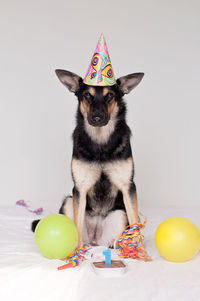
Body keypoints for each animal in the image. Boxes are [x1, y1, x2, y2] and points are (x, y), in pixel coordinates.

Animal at [32, 69, 149, 258]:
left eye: (110, 96)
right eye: (87, 95)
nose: (97, 118)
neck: (100, 142)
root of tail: (95, 239)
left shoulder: (128, 187)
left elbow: (135, 223)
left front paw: (140, 252)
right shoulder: (80, 188)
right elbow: (78, 224)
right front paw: (77, 254)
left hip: (119, 214)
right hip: (68, 202)